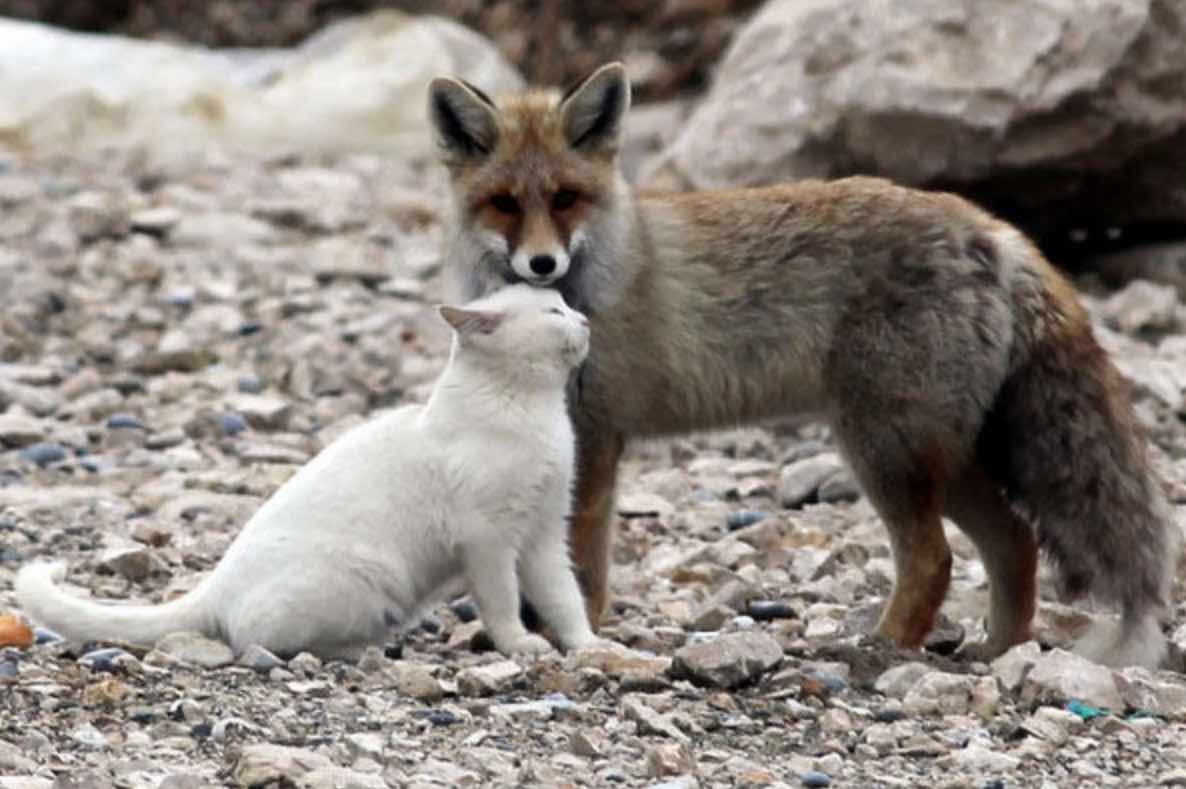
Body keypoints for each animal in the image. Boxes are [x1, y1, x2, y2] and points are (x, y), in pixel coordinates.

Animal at [426, 62, 1179, 668]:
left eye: (564, 198)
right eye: (503, 203)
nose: (542, 264)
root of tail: (994, 229)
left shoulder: (599, 433)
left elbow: (580, 563)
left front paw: (573, 633)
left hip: (884, 449)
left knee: (934, 559)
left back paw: (880, 648)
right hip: (939, 454)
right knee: (1015, 541)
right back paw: (1000, 651)